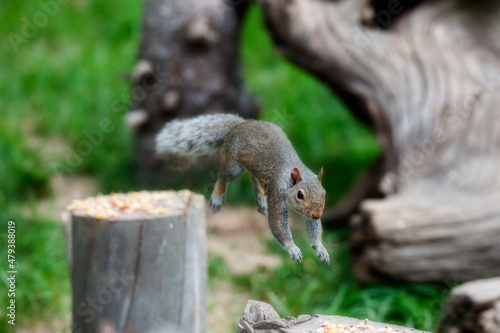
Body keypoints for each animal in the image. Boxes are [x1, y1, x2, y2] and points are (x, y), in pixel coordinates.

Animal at [155, 113, 328, 264]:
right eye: (300, 194)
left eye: (324, 193)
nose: (317, 214)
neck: (288, 179)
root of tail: (240, 124)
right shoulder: (277, 193)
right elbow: (278, 224)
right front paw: (292, 248)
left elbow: (313, 227)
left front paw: (320, 248)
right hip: (233, 166)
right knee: (223, 177)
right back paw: (218, 196)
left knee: (253, 178)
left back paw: (261, 198)